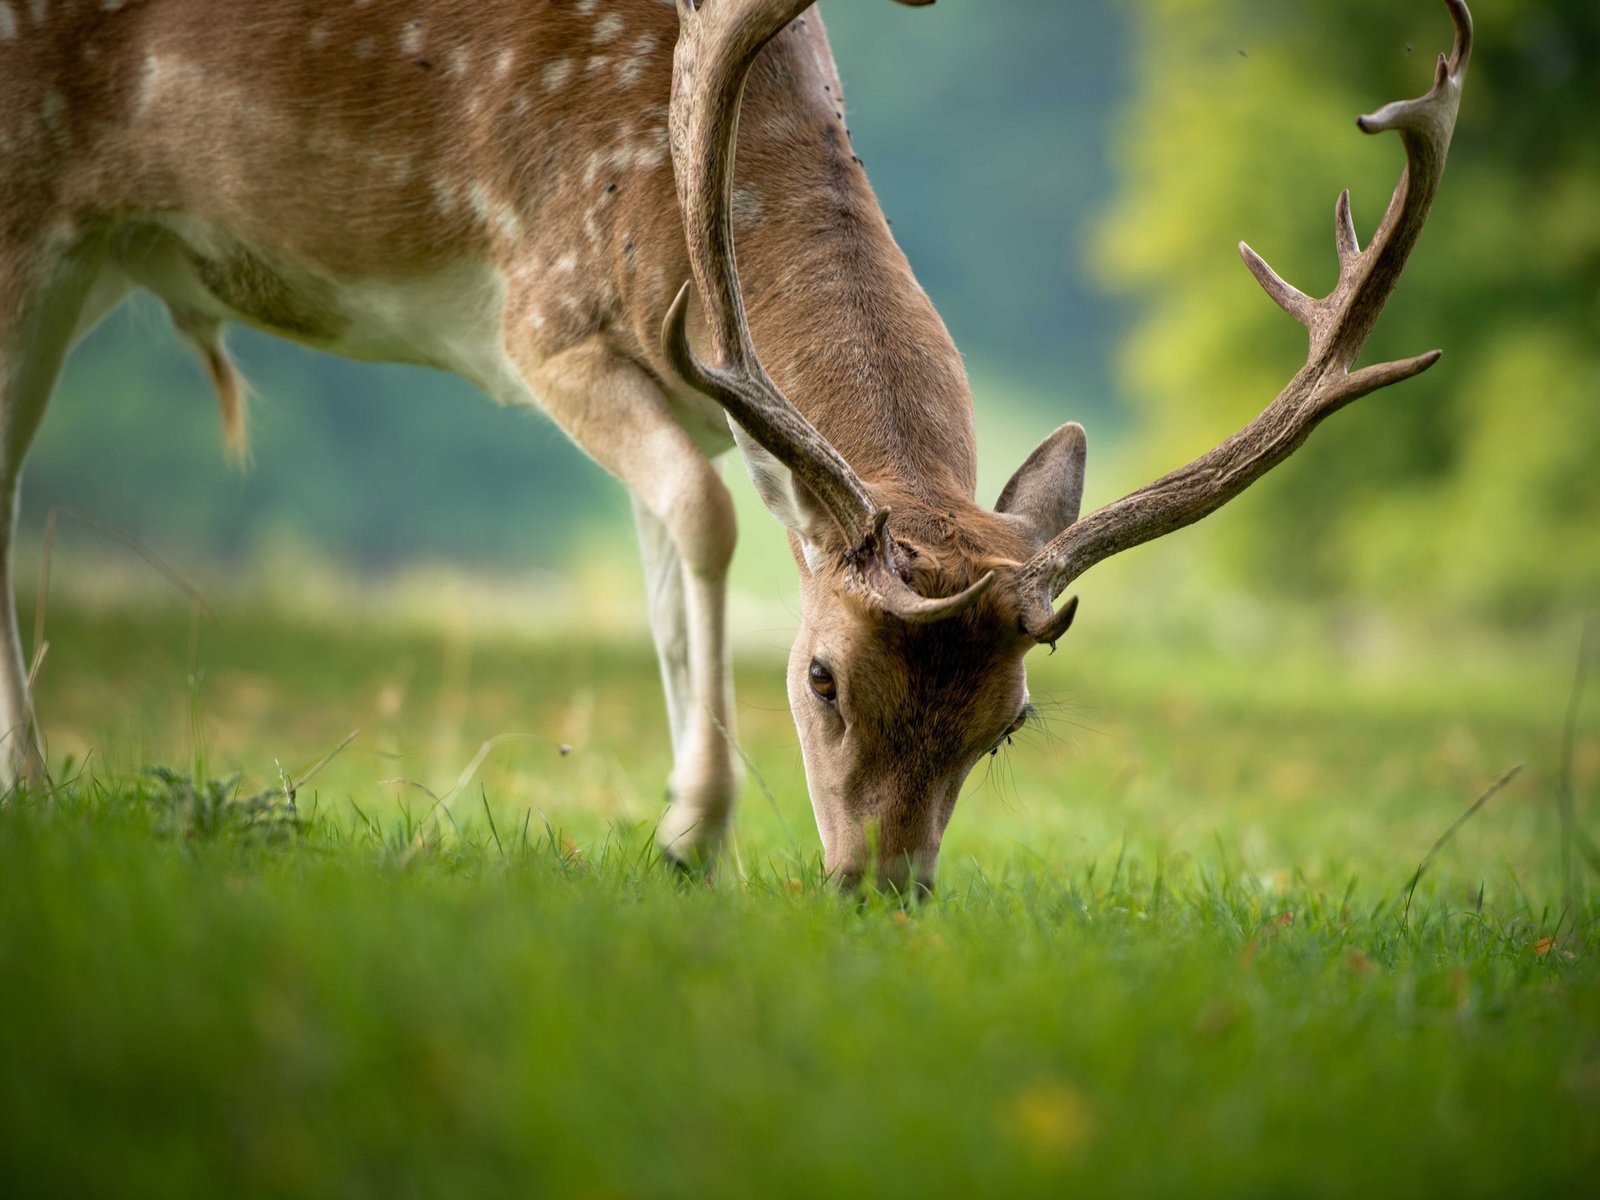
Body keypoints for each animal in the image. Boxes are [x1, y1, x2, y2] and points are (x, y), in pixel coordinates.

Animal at [0, 2, 1465, 896]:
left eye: (1010, 724)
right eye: (819, 678)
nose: (882, 892)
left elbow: (662, 565)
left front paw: (675, 825)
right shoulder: (547, 311)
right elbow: (701, 523)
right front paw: (696, 832)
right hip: (30, 204)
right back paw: (34, 785)